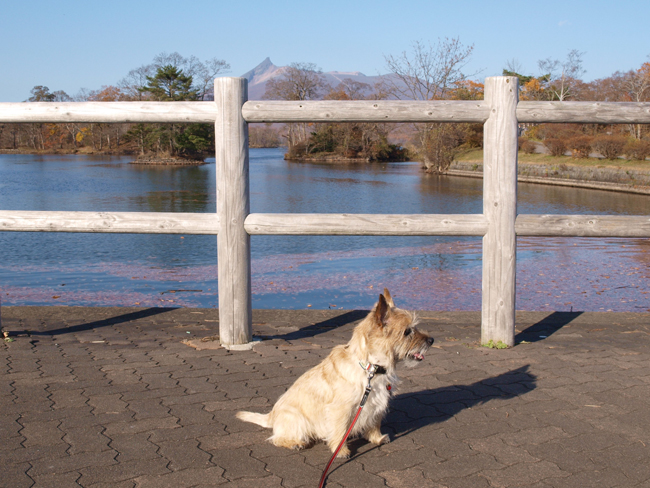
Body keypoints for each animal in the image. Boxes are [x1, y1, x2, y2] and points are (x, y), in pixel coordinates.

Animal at [235, 286, 432, 458]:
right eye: (407, 332)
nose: (431, 340)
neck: (371, 367)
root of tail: (272, 416)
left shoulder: (375, 403)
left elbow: (374, 423)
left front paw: (377, 438)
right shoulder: (341, 410)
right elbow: (340, 430)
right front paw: (341, 450)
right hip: (297, 419)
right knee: (277, 438)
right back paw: (295, 443)